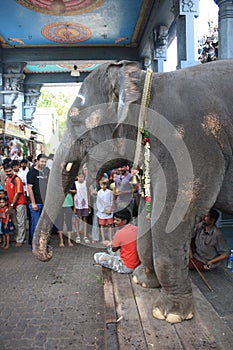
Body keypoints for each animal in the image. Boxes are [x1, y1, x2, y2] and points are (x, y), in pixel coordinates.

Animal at [32, 58, 233, 324]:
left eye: (74, 121)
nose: (49, 252)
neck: (142, 80)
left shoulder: (189, 144)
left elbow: (174, 214)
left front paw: (169, 314)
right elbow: (151, 213)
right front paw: (143, 281)